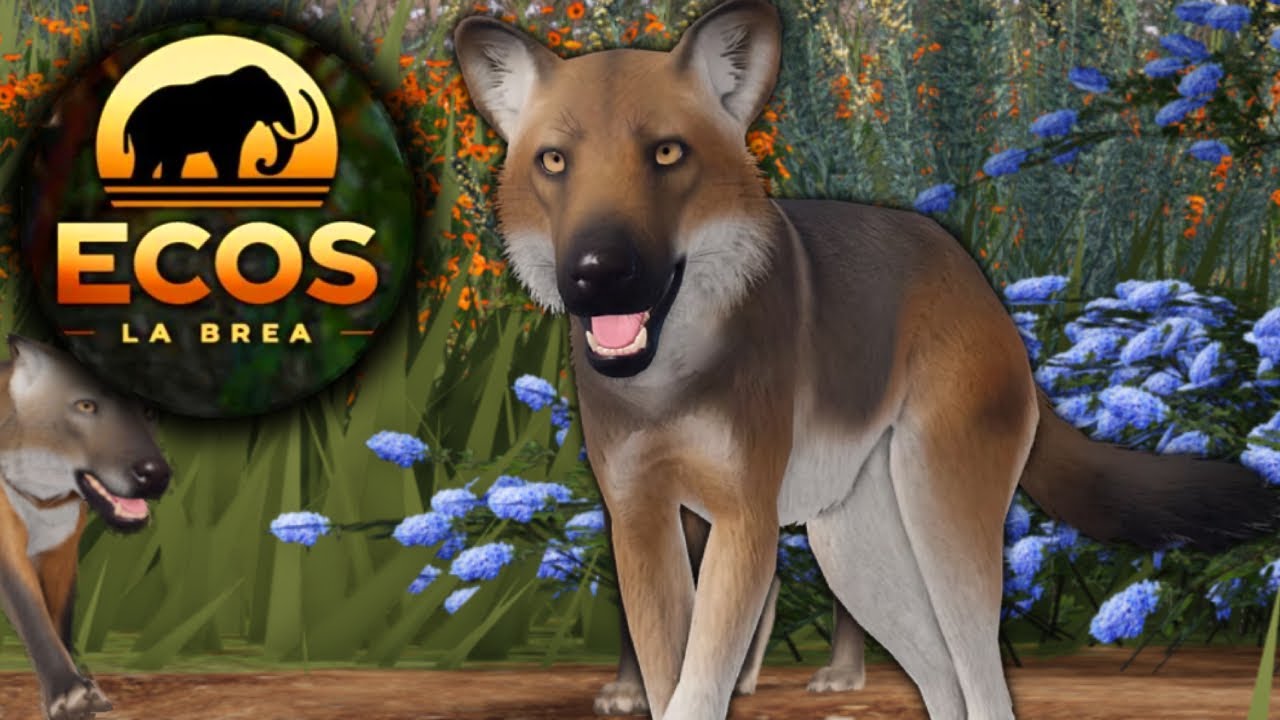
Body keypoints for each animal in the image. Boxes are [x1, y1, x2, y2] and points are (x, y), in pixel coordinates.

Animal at [0, 335, 171, 720]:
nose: (156, 474)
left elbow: (59, 620)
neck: (45, 500)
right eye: (86, 405)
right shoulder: (7, 549)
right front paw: (72, 694)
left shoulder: (61, 554)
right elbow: (33, 615)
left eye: (148, 411)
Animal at [453, 2, 1280, 717]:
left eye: (665, 153)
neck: (670, 381)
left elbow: (699, 685)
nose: (598, 272)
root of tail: (975, 278)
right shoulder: (641, 521)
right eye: (554, 161)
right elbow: (667, 676)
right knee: (943, 686)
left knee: (984, 688)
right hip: (855, 557)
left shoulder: (743, 524)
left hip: (941, 539)